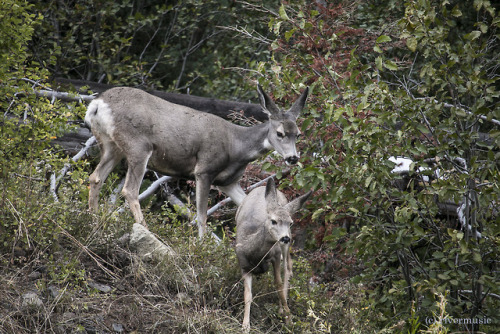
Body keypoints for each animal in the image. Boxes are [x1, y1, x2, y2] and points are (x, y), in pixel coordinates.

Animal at [85, 86, 308, 237]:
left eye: (298, 134)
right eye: (280, 133)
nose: (292, 158)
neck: (236, 145)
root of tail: (97, 104)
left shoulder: (227, 182)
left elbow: (249, 205)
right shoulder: (204, 170)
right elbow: (201, 215)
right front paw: (201, 245)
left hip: (111, 145)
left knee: (95, 178)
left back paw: (93, 222)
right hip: (138, 147)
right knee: (129, 190)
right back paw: (146, 230)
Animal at [233, 179, 308, 330]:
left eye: (290, 223)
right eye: (273, 221)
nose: (285, 238)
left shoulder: (276, 254)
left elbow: (278, 286)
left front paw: (289, 319)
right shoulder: (244, 266)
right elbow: (247, 295)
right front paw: (245, 325)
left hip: (284, 247)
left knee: (288, 267)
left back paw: (281, 310)